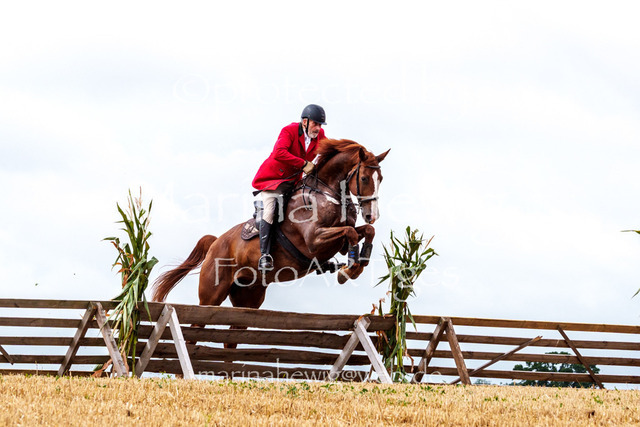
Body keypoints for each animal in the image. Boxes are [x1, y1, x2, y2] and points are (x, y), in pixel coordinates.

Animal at [151, 139, 390, 315]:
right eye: (365, 178)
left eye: (381, 178)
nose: (372, 215)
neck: (326, 193)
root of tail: (216, 242)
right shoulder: (314, 240)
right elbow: (350, 232)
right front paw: (349, 269)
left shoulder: (338, 242)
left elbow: (365, 232)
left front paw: (358, 262)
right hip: (211, 294)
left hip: (249, 297)